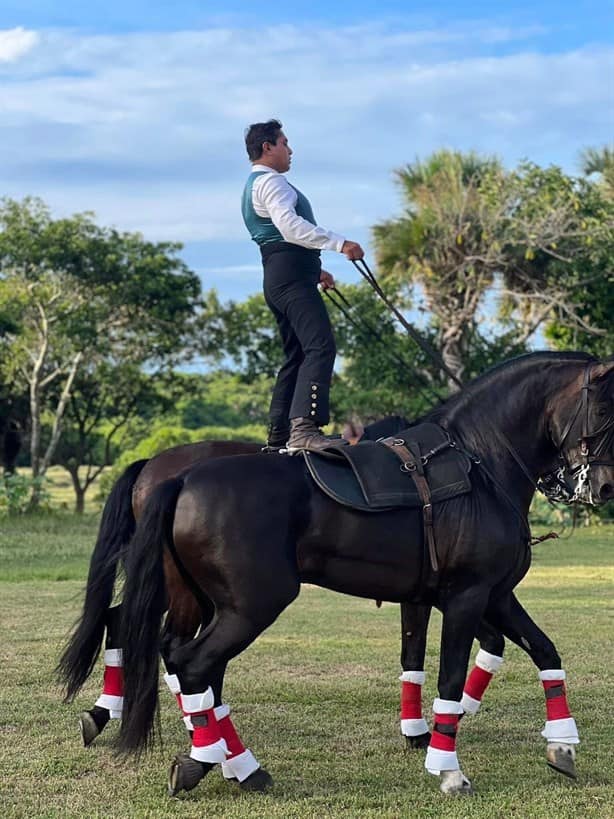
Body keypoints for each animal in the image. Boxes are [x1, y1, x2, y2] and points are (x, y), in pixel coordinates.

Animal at [115, 350, 614, 796]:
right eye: (605, 410)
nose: (605, 486)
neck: (481, 463)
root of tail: (181, 478)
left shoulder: (494, 595)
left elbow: (544, 651)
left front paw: (562, 745)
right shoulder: (466, 597)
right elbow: (449, 677)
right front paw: (448, 768)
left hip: (210, 604)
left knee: (193, 666)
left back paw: (229, 763)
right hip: (250, 606)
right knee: (194, 664)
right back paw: (219, 763)